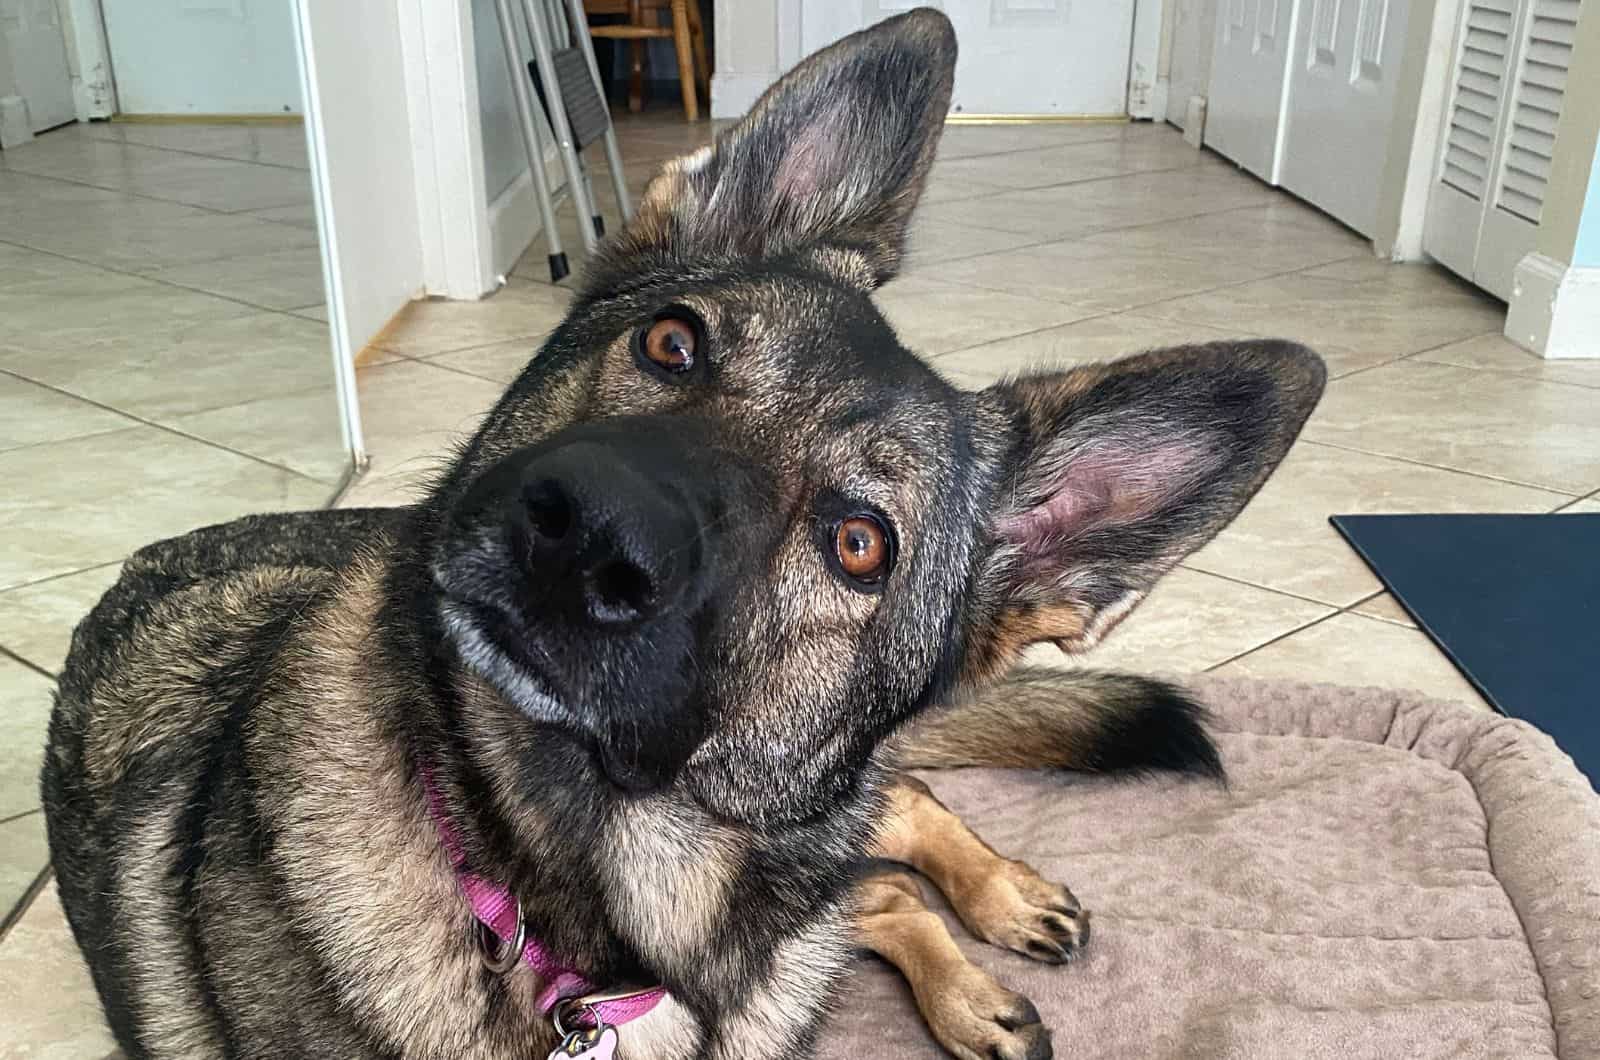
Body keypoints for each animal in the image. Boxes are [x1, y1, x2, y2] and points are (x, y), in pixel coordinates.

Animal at [40, 10, 1324, 1060]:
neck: (604, 949)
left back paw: (999, 902)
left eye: (860, 543)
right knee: (882, 872)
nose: (583, 534)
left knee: (893, 818)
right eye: (671, 342)